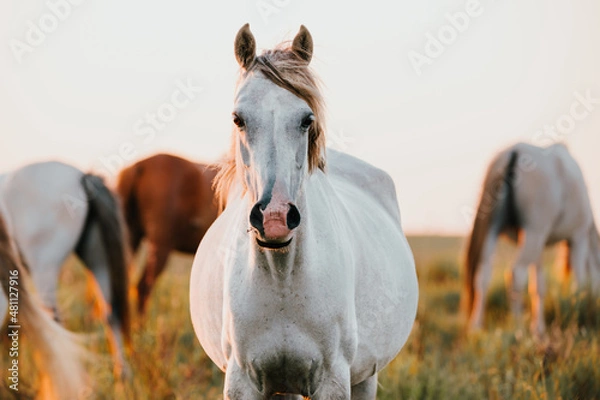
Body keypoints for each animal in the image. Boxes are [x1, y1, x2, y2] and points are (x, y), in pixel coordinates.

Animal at [0, 161, 131, 376]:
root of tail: (82, 177)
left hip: (43, 269)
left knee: (54, 325)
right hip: (97, 260)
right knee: (110, 314)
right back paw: (123, 376)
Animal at [190, 25, 420, 400]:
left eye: (305, 119)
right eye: (238, 119)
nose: (274, 218)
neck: (282, 276)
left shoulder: (333, 380)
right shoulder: (243, 381)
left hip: (365, 375)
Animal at [466, 142, 600, 336]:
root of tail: (514, 151)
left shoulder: (540, 244)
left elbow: (539, 285)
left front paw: (539, 328)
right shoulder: (578, 236)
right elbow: (579, 283)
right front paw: (577, 313)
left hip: (495, 227)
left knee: (483, 274)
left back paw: (476, 326)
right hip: (533, 231)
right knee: (516, 274)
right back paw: (517, 325)